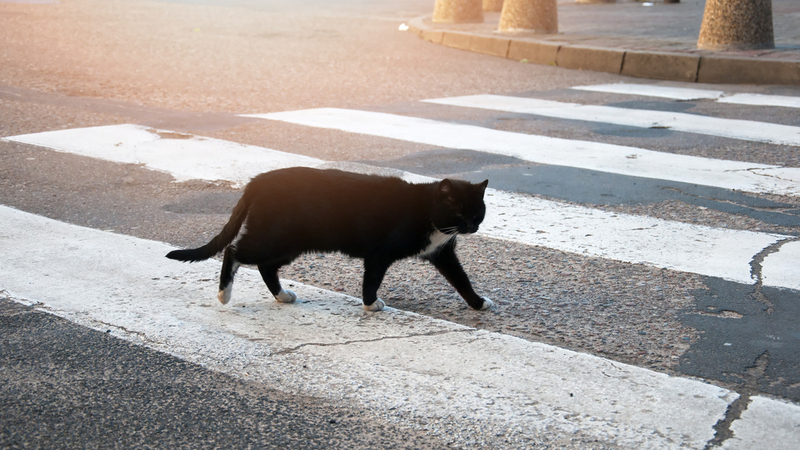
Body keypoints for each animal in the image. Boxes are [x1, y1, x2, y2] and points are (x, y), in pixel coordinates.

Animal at [167, 167, 494, 312]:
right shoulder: (380, 252)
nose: (471, 227)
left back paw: (282, 296)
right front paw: (370, 304)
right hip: (276, 236)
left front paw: (478, 303)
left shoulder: (442, 252)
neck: (427, 210)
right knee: (234, 251)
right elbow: (372, 278)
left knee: (265, 266)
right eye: (459, 213)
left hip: (289, 243)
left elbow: (461, 278)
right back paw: (224, 294)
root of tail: (257, 180)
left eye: (478, 213)